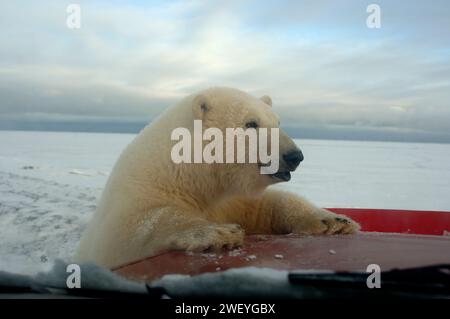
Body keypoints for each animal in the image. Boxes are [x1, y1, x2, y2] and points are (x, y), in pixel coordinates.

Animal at [75, 88, 360, 270]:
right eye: (251, 123)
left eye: (278, 122)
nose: (294, 155)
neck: (192, 175)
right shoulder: (139, 192)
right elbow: (134, 227)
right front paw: (220, 232)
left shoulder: (233, 198)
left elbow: (269, 206)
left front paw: (334, 221)